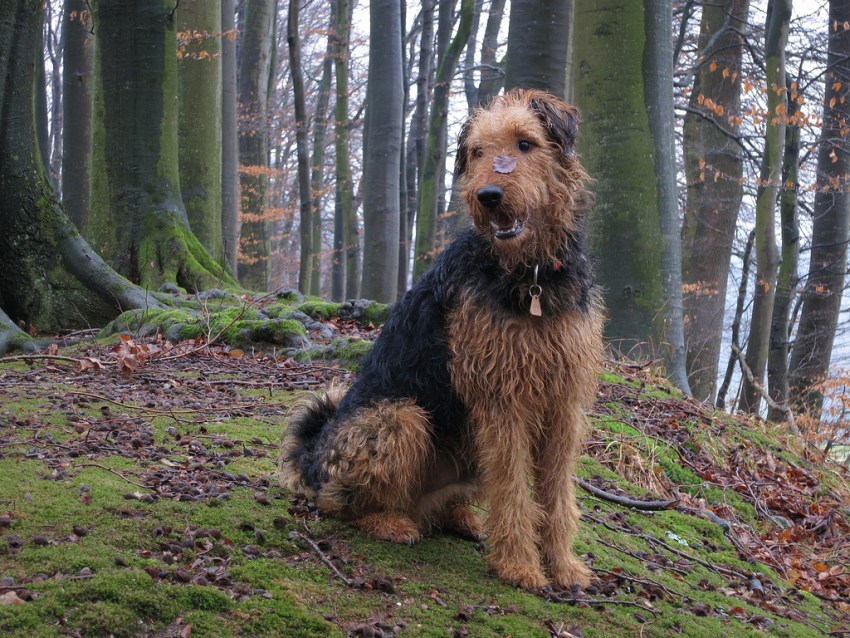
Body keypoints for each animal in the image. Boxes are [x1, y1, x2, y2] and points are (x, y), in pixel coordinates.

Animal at [280, 89, 604, 592]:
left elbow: (556, 492)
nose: (488, 196)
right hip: (401, 418)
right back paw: (391, 523)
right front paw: (520, 566)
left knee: (441, 503)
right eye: (477, 152)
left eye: (526, 143)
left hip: (465, 446)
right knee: (344, 504)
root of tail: (313, 457)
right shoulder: (502, 400)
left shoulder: (563, 400)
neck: (530, 278)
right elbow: (514, 489)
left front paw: (564, 566)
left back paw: (462, 518)